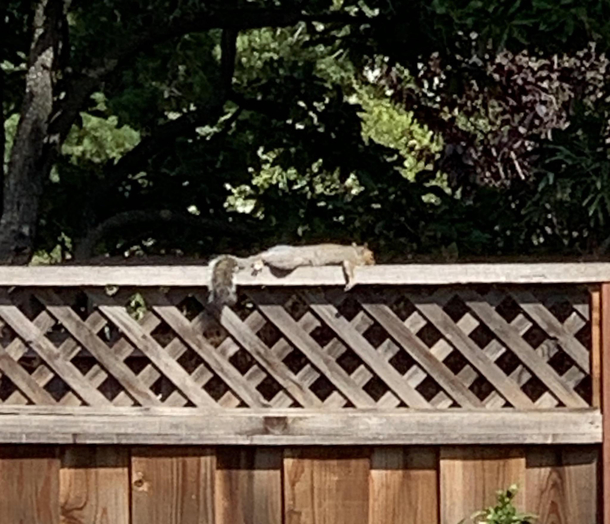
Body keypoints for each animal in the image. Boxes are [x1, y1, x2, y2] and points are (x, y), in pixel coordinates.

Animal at [207, 243, 372, 308]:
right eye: (371, 255)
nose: (374, 261)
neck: (355, 251)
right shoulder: (350, 260)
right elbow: (349, 269)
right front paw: (352, 282)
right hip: (289, 260)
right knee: (266, 257)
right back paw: (260, 262)